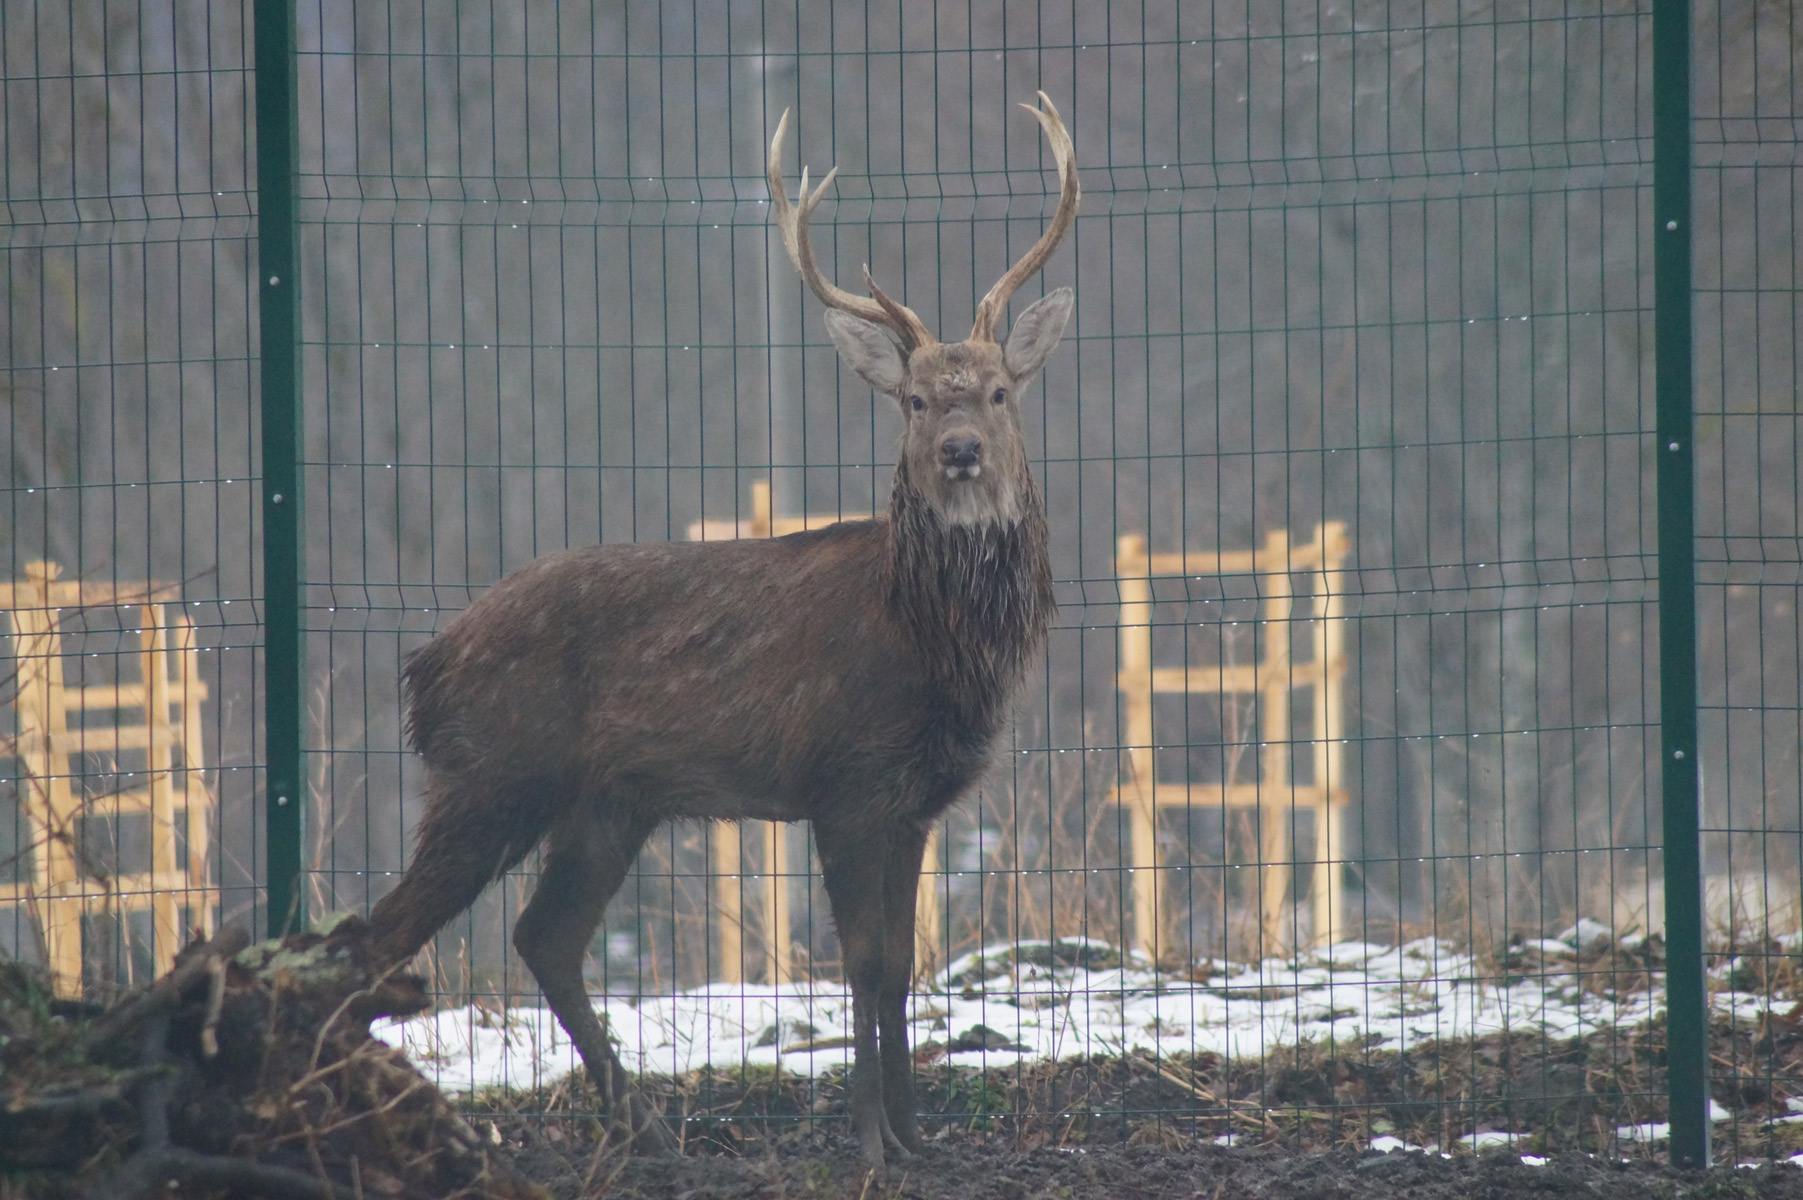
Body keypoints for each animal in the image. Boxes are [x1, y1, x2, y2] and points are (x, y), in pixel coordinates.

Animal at [358, 93, 1074, 1167]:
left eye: (998, 391)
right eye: (912, 399)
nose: (958, 453)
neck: (931, 638)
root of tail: (423, 664)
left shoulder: (913, 803)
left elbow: (902, 966)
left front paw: (916, 1137)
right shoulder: (847, 780)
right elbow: (863, 962)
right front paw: (871, 1139)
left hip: (608, 802)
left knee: (542, 935)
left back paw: (645, 1120)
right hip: (491, 774)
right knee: (383, 933)